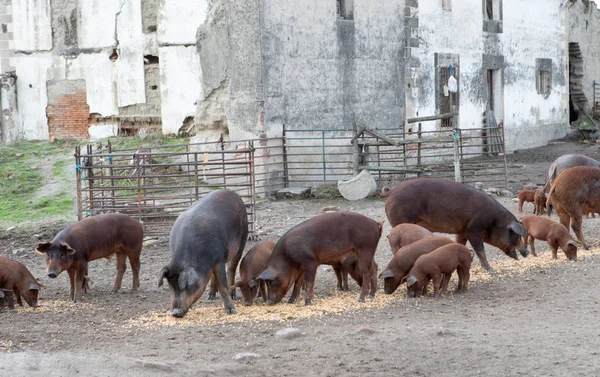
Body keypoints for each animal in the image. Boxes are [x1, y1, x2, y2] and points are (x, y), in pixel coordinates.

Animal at [386, 177, 528, 274]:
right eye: (515, 235)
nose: (527, 252)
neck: (494, 221)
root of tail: (391, 192)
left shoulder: (462, 231)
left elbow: (460, 244)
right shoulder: (473, 230)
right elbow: (480, 250)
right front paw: (491, 270)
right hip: (401, 219)